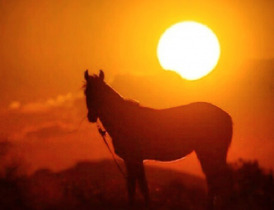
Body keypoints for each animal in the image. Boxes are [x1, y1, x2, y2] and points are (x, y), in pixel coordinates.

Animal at [84, 69, 233, 209]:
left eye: (100, 93)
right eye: (86, 92)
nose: (91, 117)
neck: (123, 118)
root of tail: (227, 116)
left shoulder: (134, 159)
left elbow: (139, 187)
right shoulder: (132, 160)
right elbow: (137, 187)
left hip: (211, 154)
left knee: (219, 180)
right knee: (214, 180)